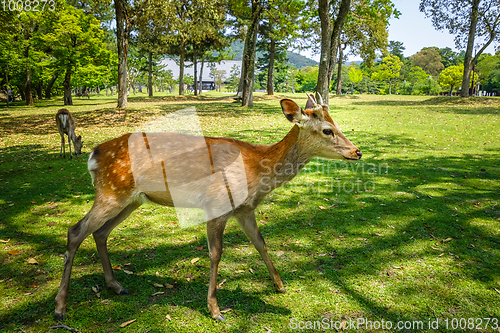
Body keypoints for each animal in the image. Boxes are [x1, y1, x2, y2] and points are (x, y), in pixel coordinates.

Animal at [53, 92, 360, 320]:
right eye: (327, 130)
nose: (356, 151)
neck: (257, 169)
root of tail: (93, 155)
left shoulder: (245, 209)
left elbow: (260, 242)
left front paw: (280, 285)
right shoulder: (217, 203)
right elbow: (216, 253)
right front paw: (214, 309)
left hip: (130, 199)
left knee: (100, 232)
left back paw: (116, 286)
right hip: (110, 192)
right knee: (75, 231)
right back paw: (60, 308)